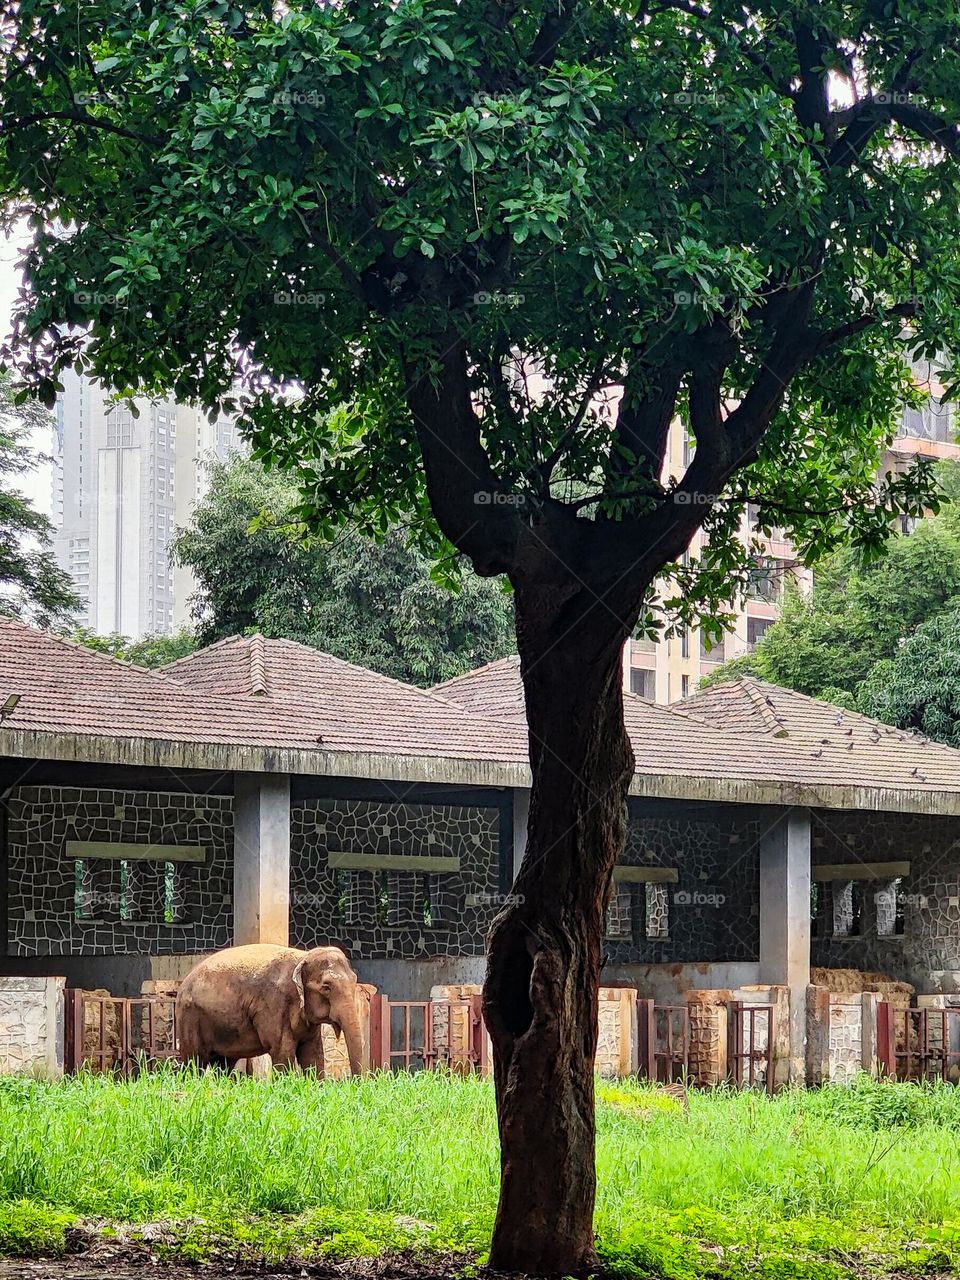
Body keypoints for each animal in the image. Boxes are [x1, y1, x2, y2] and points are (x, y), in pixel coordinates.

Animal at [176, 943, 365, 1075]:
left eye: (355, 980)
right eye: (326, 987)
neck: (302, 956)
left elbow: (313, 1053)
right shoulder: (274, 1004)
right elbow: (282, 1053)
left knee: (224, 1064)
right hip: (190, 1018)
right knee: (194, 1062)